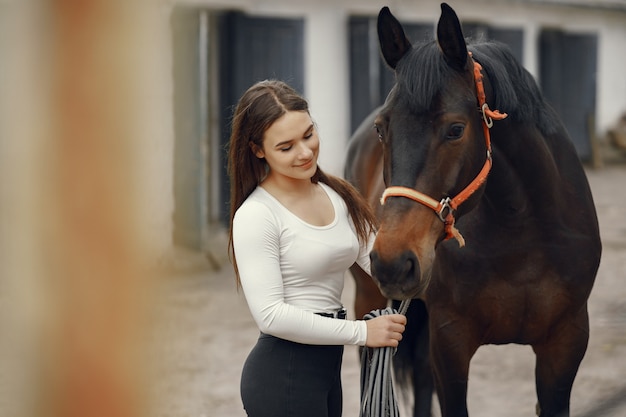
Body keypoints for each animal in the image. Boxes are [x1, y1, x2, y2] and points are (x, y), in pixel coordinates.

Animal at [344, 4, 604, 416]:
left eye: (455, 129)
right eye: (382, 129)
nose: (392, 262)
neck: (522, 233)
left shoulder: (566, 341)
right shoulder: (450, 343)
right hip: (369, 297)